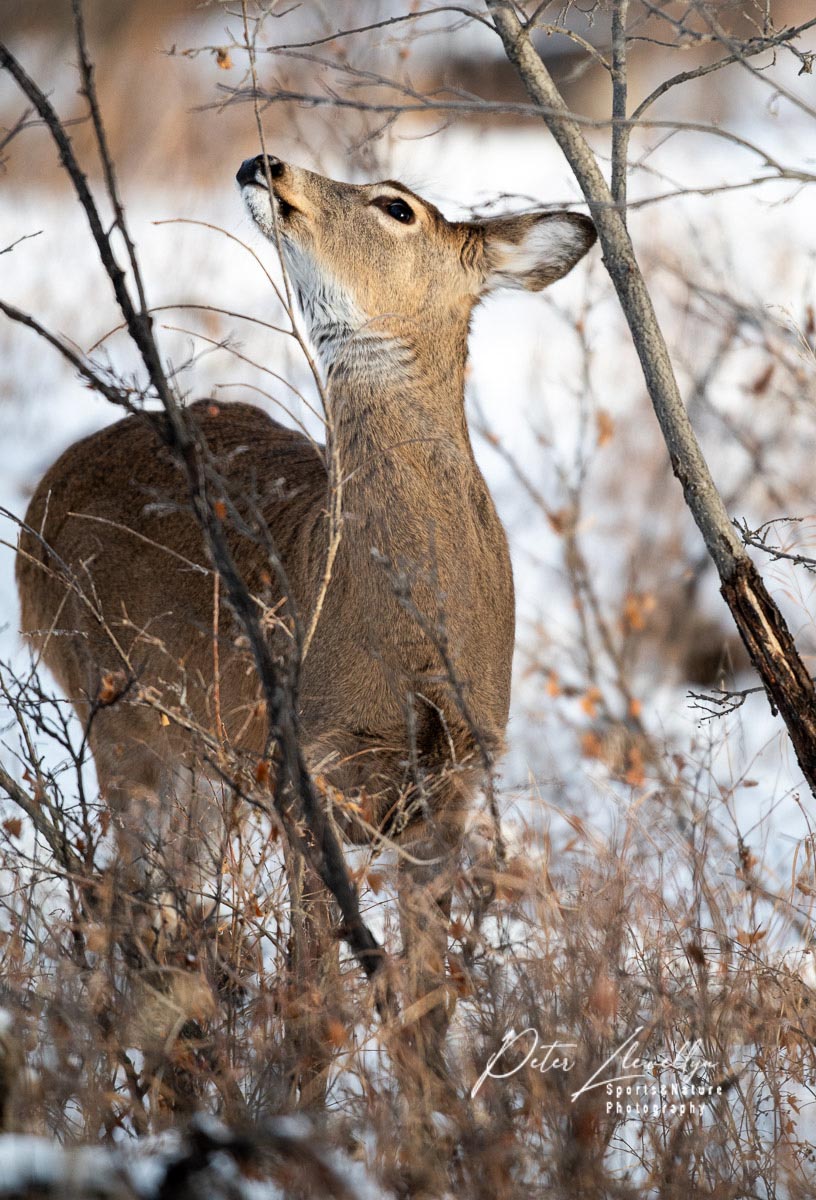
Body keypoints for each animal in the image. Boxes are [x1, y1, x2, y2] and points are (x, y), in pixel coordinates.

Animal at [16, 153, 595, 1074]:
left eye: (397, 207)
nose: (264, 163)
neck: (410, 635)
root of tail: (42, 495)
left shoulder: (455, 789)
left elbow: (423, 1008)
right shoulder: (304, 782)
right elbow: (313, 1005)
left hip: (200, 757)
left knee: (169, 908)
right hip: (111, 707)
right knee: (130, 908)